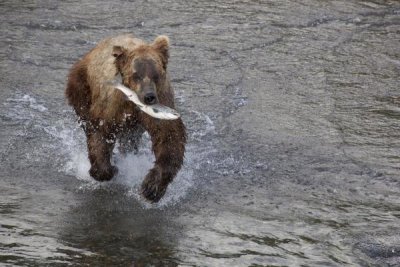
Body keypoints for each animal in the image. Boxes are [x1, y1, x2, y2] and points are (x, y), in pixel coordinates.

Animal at [66, 34, 188, 203]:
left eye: (156, 75)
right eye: (136, 75)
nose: (149, 96)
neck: (132, 104)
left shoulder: (162, 99)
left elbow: (168, 137)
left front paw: (152, 188)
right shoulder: (111, 105)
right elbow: (100, 132)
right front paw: (109, 169)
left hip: (134, 126)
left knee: (130, 140)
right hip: (82, 86)